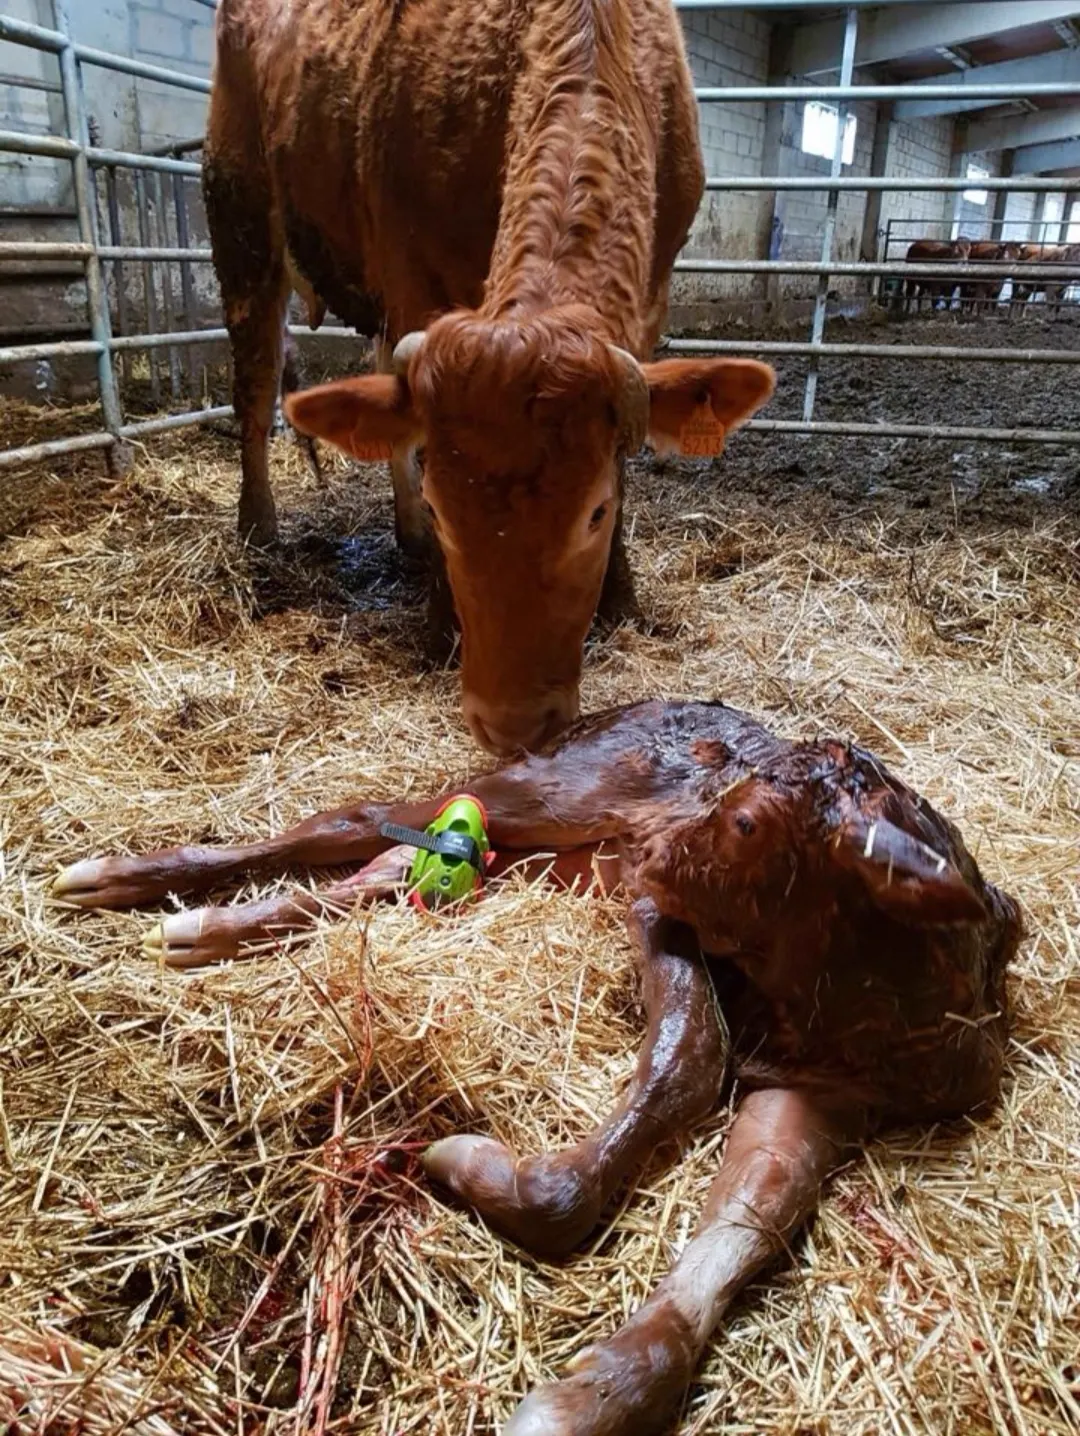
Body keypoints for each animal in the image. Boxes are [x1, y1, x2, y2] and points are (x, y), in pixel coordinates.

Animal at [55, 697, 1021, 1436]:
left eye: (748, 825)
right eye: (733, 803)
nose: (658, 846)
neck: (833, 996)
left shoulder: (820, 1094)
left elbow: (749, 1222)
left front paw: (594, 1397)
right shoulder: (659, 911)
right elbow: (690, 1054)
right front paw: (496, 1177)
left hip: (538, 854)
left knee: (393, 869)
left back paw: (206, 931)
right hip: (554, 794)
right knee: (359, 818)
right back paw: (117, 877)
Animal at [204, 1, 776, 755]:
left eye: (595, 512)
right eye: (447, 507)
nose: (512, 723)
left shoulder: (653, 292)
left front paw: (620, 596)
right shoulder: (413, 272)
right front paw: (441, 615)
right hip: (239, 211)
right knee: (255, 373)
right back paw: (259, 529)